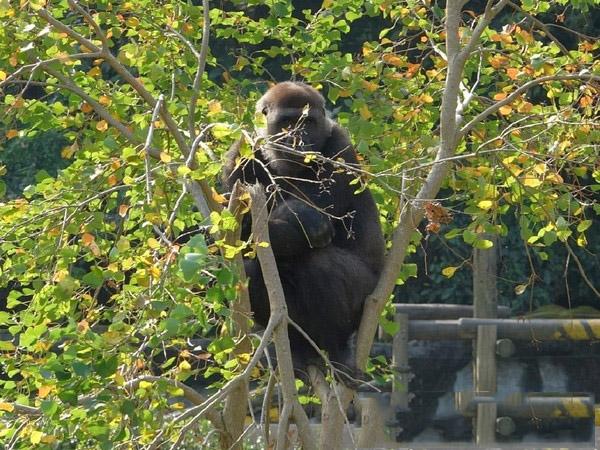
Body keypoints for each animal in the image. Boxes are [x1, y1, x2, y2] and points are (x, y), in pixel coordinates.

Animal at [221, 81, 384, 376]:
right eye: (286, 122)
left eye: (308, 122)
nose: (299, 139)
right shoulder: (241, 151)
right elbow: (232, 236)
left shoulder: (340, 146)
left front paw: (303, 217)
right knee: (251, 268)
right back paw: (297, 350)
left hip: (369, 301)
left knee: (321, 264)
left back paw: (336, 348)